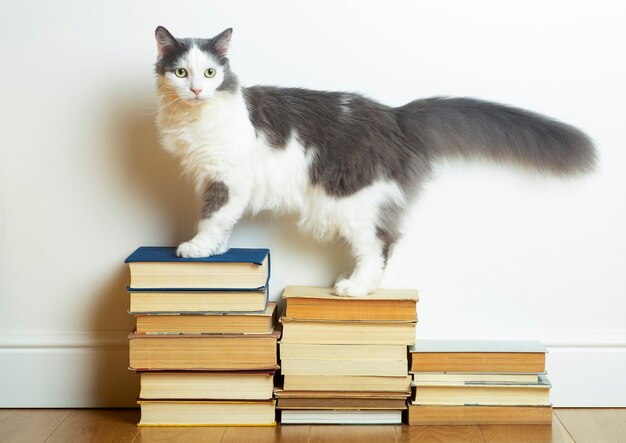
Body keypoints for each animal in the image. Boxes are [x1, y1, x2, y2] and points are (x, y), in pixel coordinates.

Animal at [151, 26, 596, 298]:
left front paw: (195, 247)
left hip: (354, 201)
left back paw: (355, 287)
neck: (194, 118)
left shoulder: (226, 178)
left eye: (210, 73)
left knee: (380, 245)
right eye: (181, 72)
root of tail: (394, 115)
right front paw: (217, 249)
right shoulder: (217, 179)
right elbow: (223, 221)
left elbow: (210, 217)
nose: (195, 89)